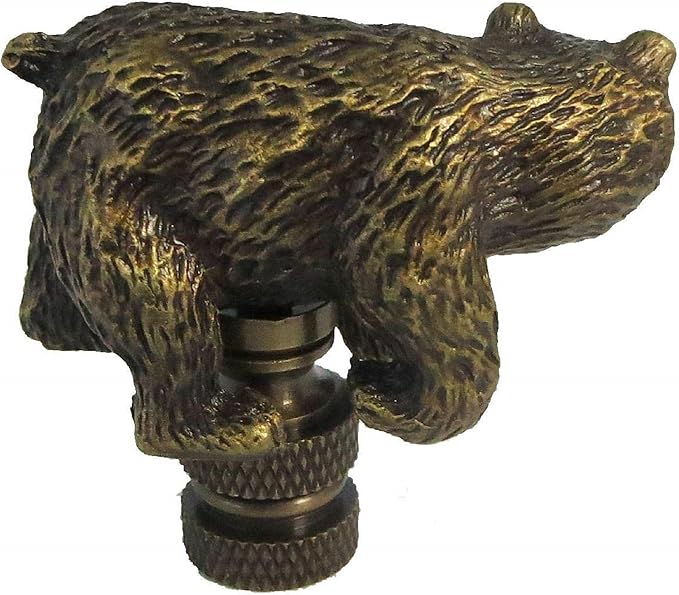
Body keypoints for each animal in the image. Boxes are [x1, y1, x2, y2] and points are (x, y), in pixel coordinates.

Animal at [2, 2, 674, 458]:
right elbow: (413, 289)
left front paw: (379, 370)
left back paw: (65, 329)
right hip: (123, 194)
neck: (515, 108)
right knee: (164, 309)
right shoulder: (426, 171)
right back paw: (225, 423)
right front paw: (401, 405)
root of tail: (58, 53)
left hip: (67, 185)